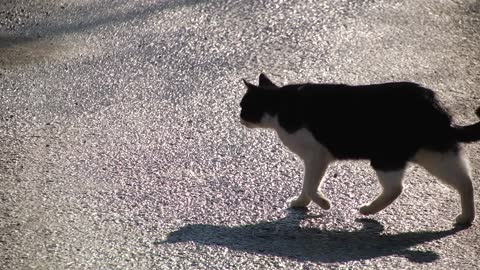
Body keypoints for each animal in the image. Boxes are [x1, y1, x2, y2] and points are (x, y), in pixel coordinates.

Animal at [240, 73, 480, 225]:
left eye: (243, 106)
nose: (239, 117)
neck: (279, 106)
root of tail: (436, 105)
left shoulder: (316, 156)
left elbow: (310, 185)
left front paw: (323, 204)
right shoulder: (316, 159)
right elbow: (307, 185)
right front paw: (300, 203)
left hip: (387, 158)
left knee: (396, 189)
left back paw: (367, 209)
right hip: (435, 154)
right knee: (465, 182)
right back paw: (466, 218)